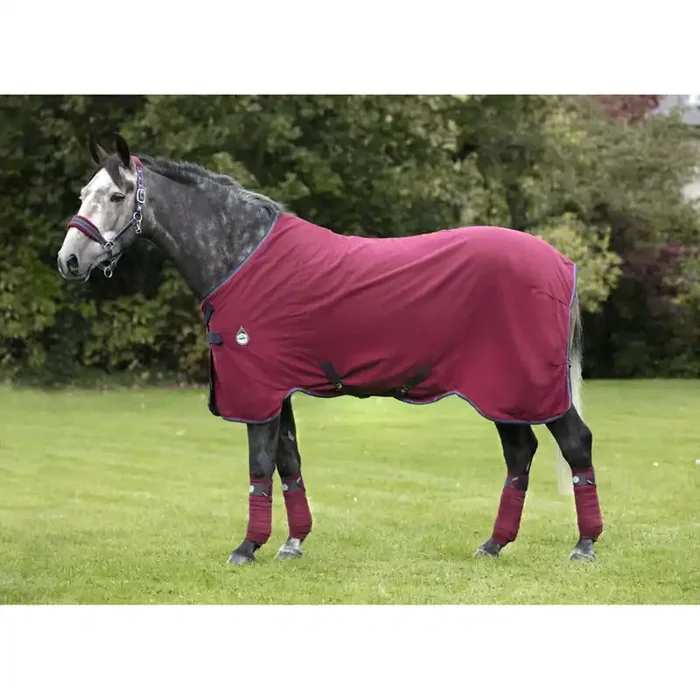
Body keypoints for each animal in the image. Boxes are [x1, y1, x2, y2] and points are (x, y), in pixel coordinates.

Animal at [56, 134, 603, 565]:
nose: (68, 260)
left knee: (575, 444)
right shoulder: (278, 390)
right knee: (520, 454)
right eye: (83, 194)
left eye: (117, 194)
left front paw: (247, 547)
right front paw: (292, 542)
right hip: (502, 392)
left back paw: (584, 545)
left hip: (528, 387)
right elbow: (288, 463)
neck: (241, 255)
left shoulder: (257, 390)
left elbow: (260, 465)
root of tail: (562, 263)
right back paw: (493, 544)